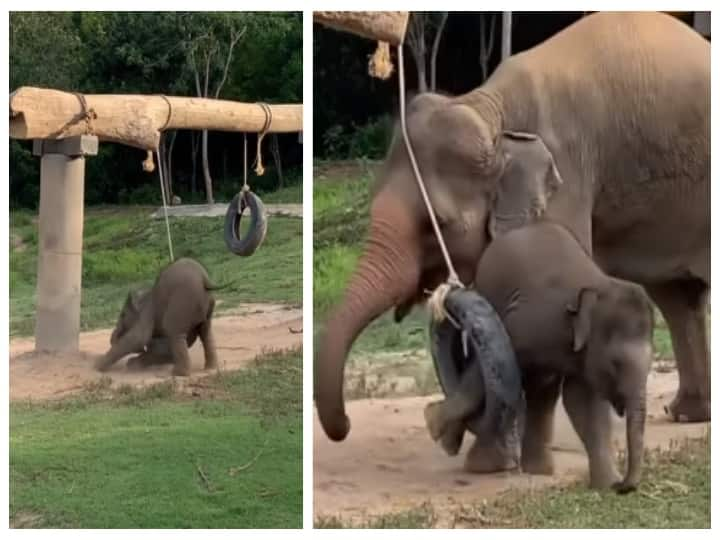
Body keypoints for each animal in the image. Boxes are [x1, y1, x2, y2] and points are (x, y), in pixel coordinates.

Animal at [316, 11, 708, 442]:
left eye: (438, 224)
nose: (345, 426)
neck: (491, 108)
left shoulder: (568, 173)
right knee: (677, 297)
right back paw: (687, 414)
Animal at [424, 220, 656, 494]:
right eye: (615, 363)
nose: (624, 486)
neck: (595, 284)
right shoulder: (525, 323)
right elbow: (487, 373)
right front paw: (432, 422)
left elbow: (583, 402)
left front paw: (606, 484)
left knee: (542, 388)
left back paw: (536, 469)